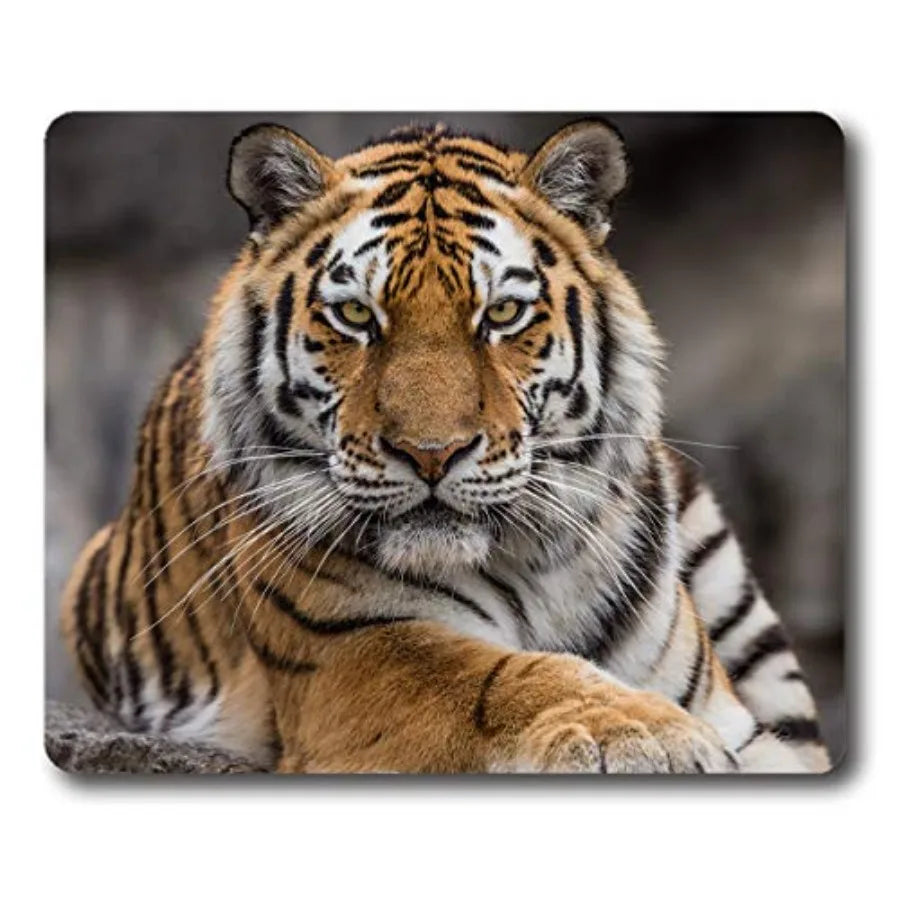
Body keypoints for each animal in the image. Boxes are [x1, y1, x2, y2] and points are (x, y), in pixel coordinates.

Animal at [60, 118, 831, 773]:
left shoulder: (744, 722)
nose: (431, 453)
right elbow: (502, 676)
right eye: (355, 315)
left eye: (503, 313)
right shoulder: (352, 654)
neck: (533, 566)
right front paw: (646, 733)